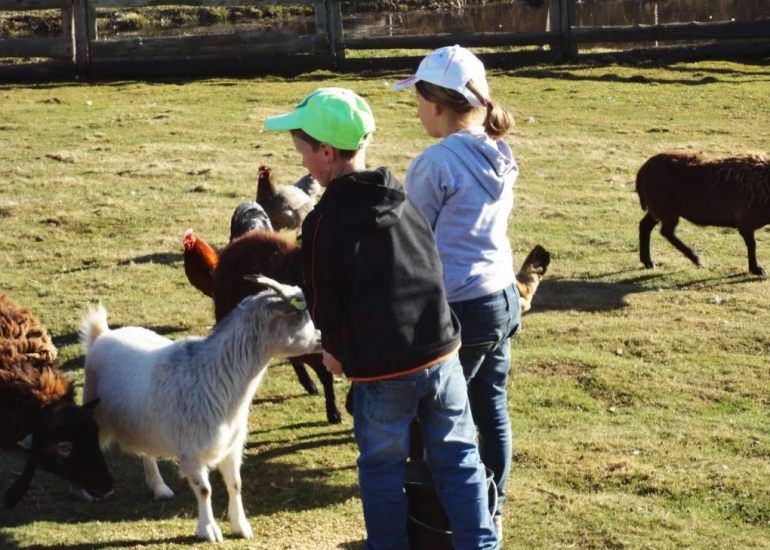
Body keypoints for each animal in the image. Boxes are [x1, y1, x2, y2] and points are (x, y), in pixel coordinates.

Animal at [82, 278, 322, 544]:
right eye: (300, 317)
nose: (321, 339)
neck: (215, 375)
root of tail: (102, 334)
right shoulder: (191, 450)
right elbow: (205, 490)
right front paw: (208, 530)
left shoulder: (231, 445)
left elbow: (236, 484)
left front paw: (240, 526)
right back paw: (91, 490)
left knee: (147, 454)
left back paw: (159, 487)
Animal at [636, 151, 768, 276]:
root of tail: (642, 170)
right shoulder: (746, 220)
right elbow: (752, 244)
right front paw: (756, 269)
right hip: (664, 206)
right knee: (665, 231)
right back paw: (696, 259)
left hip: (659, 207)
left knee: (646, 225)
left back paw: (648, 261)